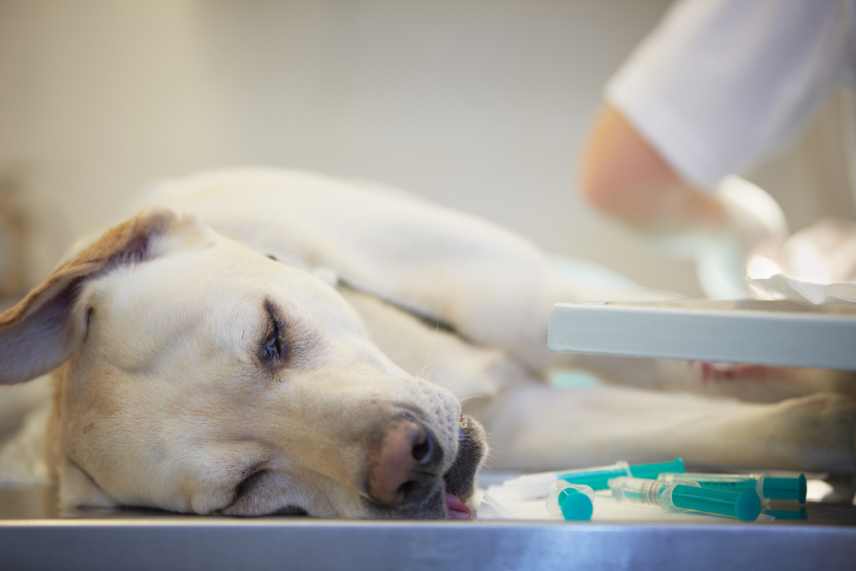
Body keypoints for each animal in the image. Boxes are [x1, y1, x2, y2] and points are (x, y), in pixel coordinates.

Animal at [1, 169, 856, 520]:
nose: (406, 461)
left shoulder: (544, 308)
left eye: (271, 335)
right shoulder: (532, 421)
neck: (408, 340)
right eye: (243, 489)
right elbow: (763, 424)